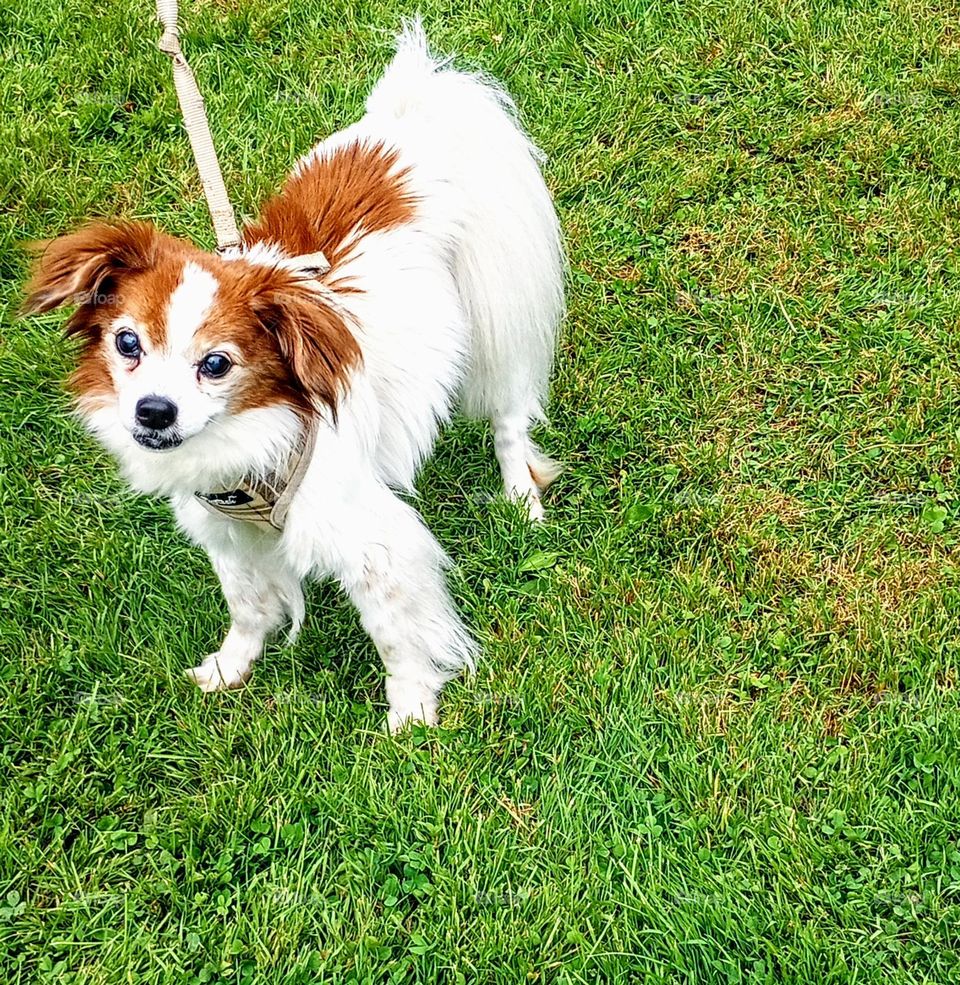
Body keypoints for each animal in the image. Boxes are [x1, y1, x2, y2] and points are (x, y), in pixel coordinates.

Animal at [22, 25, 568, 732]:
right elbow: (249, 606)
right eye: (127, 344)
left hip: (495, 316)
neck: (252, 442)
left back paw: (521, 495)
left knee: (507, 417)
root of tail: (412, 116)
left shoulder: (370, 541)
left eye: (216, 364)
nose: (152, 411)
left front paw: (412, 714)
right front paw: (232, 668)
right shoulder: (226, 534)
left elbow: (397, 634)